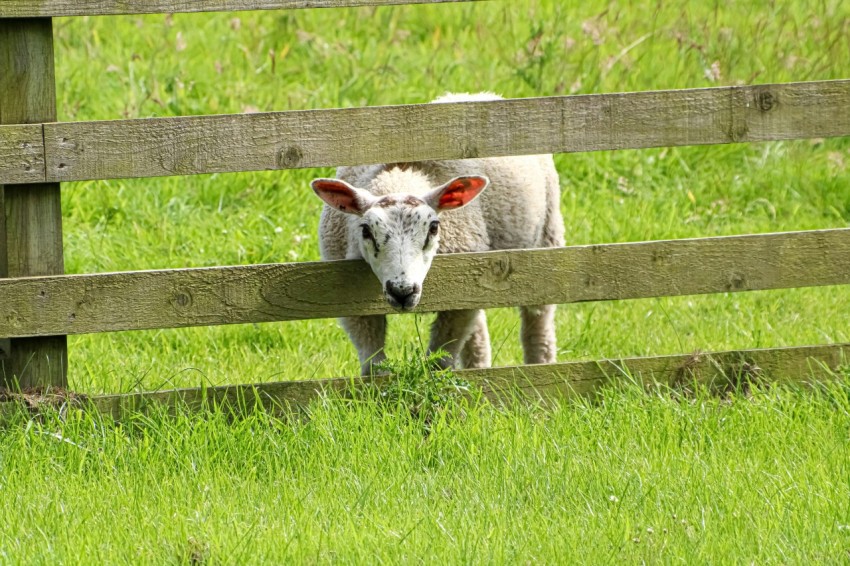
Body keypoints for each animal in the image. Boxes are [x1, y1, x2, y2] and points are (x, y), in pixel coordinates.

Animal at [311, 93, 565, 375]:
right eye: (365, 230)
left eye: (433, 228)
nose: (402, 291)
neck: (401, 174)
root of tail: (479, 96)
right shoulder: (351, 303)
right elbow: (373, 364)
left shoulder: (458, 298)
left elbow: (439, 364)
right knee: (477, 336)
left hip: (545, 240)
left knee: (538, 322)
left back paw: (540, 365)